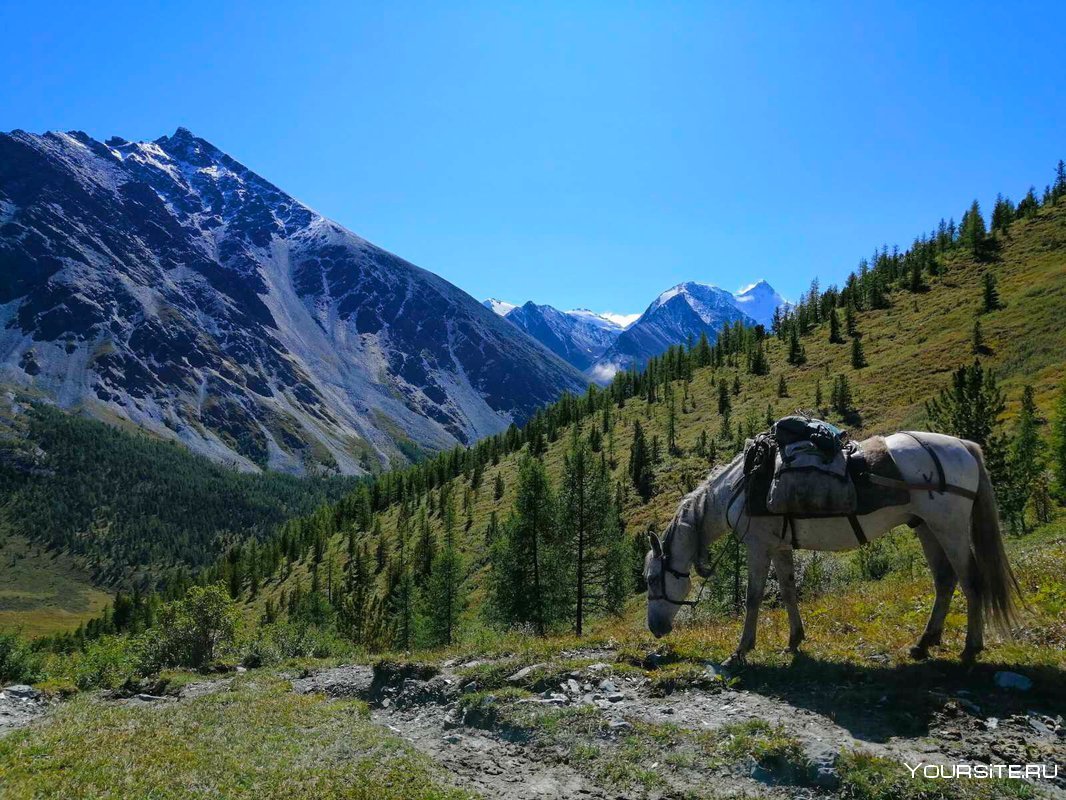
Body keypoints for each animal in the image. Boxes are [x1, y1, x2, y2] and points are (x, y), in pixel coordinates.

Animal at [643, 435, 1019, 665]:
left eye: (650, 579)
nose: (655, 629)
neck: (741, 486)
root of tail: (963, 445)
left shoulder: (759, 545)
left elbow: (753, 597)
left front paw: (741, 651)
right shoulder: (780, 546)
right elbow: (789, 591)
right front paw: (794, 640)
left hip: (949, 527)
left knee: (971, 581)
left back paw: (970, 648)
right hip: (926, 527)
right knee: (945, 581)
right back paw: (923, 643)